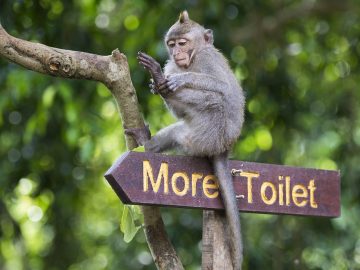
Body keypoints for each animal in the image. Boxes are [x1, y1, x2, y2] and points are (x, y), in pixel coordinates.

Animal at [126, 11, 245, 270]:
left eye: (182, 43)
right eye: (171, 45)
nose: (177, 53)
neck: (192, 59)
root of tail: (224, 148)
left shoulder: (206, 59)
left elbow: (221, 87)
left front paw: (177, 80)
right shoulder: (173, 64)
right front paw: (159, 83)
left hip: (212, 131)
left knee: (215, 98)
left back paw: (164, 83)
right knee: (177, 130)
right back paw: (148, 141)